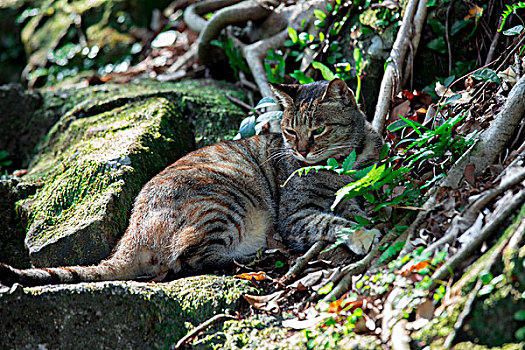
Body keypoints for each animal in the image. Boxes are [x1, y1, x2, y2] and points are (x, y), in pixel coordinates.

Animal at [0, 78, 380, 286]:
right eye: (290, 131)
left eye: (319, 130)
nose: (301, 151)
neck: (345, 163)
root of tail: (130, 233)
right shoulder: (295, 215)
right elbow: (331, 221)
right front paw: (363, 234)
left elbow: (351, 207)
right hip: (226, 203)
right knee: (187, 260)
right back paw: (255, 257)